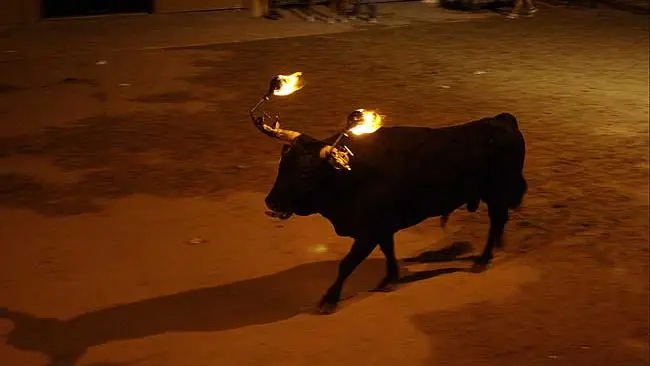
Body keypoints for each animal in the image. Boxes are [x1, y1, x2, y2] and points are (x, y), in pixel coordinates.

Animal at [260, 112, 524, 314]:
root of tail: (502, 120)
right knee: (500, 221)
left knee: (497, 220)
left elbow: (347, 264)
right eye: (282, 166)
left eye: (305, 172)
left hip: (496, 193)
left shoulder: (368, 233)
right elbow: (388, 250)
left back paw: (483, 260)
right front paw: (390, 278)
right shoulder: (382, 229)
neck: (350, 174)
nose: (271, 202)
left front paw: (329, 299)